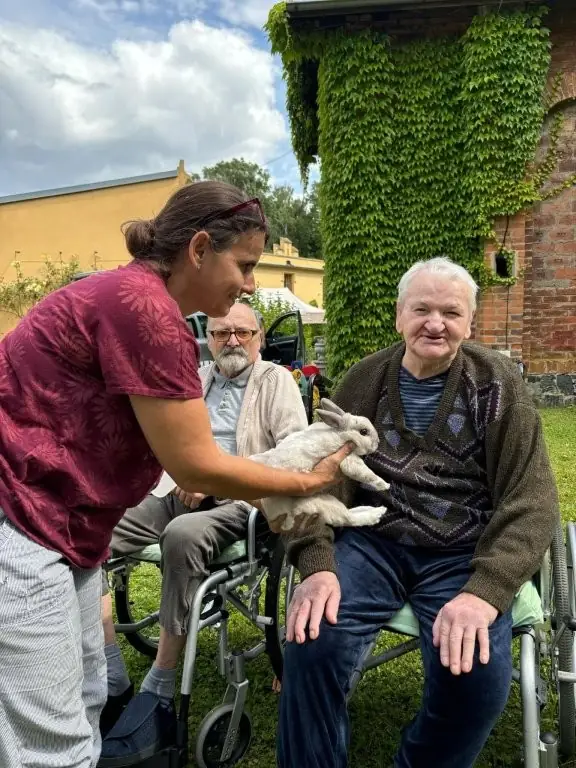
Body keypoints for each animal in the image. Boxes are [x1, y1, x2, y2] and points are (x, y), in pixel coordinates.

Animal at [250, 398, 389, 532]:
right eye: (364, 431)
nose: (377, 442)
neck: (341, 435)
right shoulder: (348, 459)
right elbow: (366, 474)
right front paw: (384, 485)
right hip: (319, 505)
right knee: (349, 518)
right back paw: (378, 513)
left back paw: (377, 509)